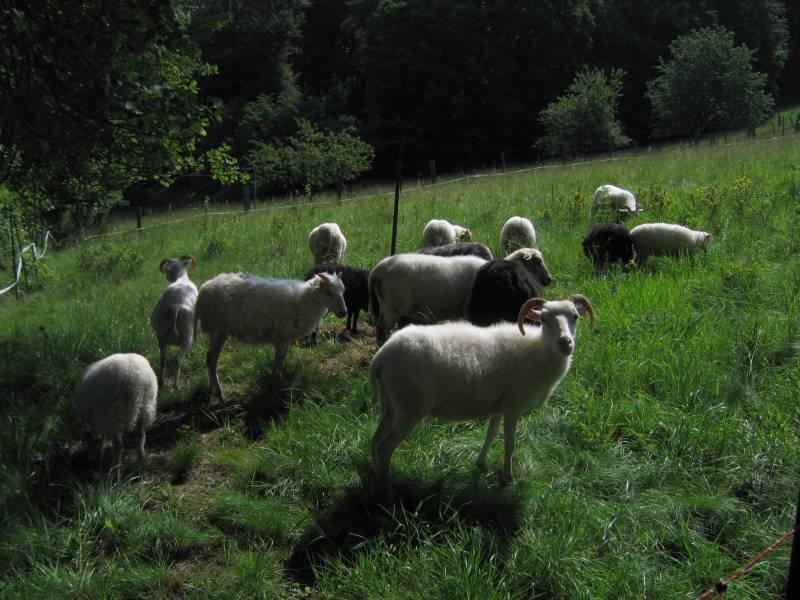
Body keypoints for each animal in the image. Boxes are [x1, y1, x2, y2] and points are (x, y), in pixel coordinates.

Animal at [150, 256, 198, 389]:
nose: (167, 276)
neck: (182, 277)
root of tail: (176, 305)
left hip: (160, 335)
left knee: (163, 359)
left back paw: (161, 382)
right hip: (186, 337)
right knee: (178, 359)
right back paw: (176, 386)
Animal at [195, 271, 347, 401]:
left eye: (343, 291)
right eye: (328, 292)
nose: (344, 312)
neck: (305, 301)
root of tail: (206, 287)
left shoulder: (286, 338)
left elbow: (282, 358)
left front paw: (279, 379)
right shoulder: (280, 336)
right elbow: (278, 360)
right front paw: (275, 383)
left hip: (219, 331)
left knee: (211, 359)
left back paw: (211, 388)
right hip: (217, 329)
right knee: (211, 359)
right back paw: (219, 393)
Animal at [370, 295, 595, 491]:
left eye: (575, 317)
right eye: (544, 320)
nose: (565, 342)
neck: (539, 352)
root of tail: (381, 356)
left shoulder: (500, 405)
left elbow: (491, 434)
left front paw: (481, 464)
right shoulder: (513, 407)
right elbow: (510, 444)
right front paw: (507, 479)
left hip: (389, 405)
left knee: (375, 441)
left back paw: (375, 482)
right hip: (410, 409)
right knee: (384, 448)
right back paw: (387, 491)